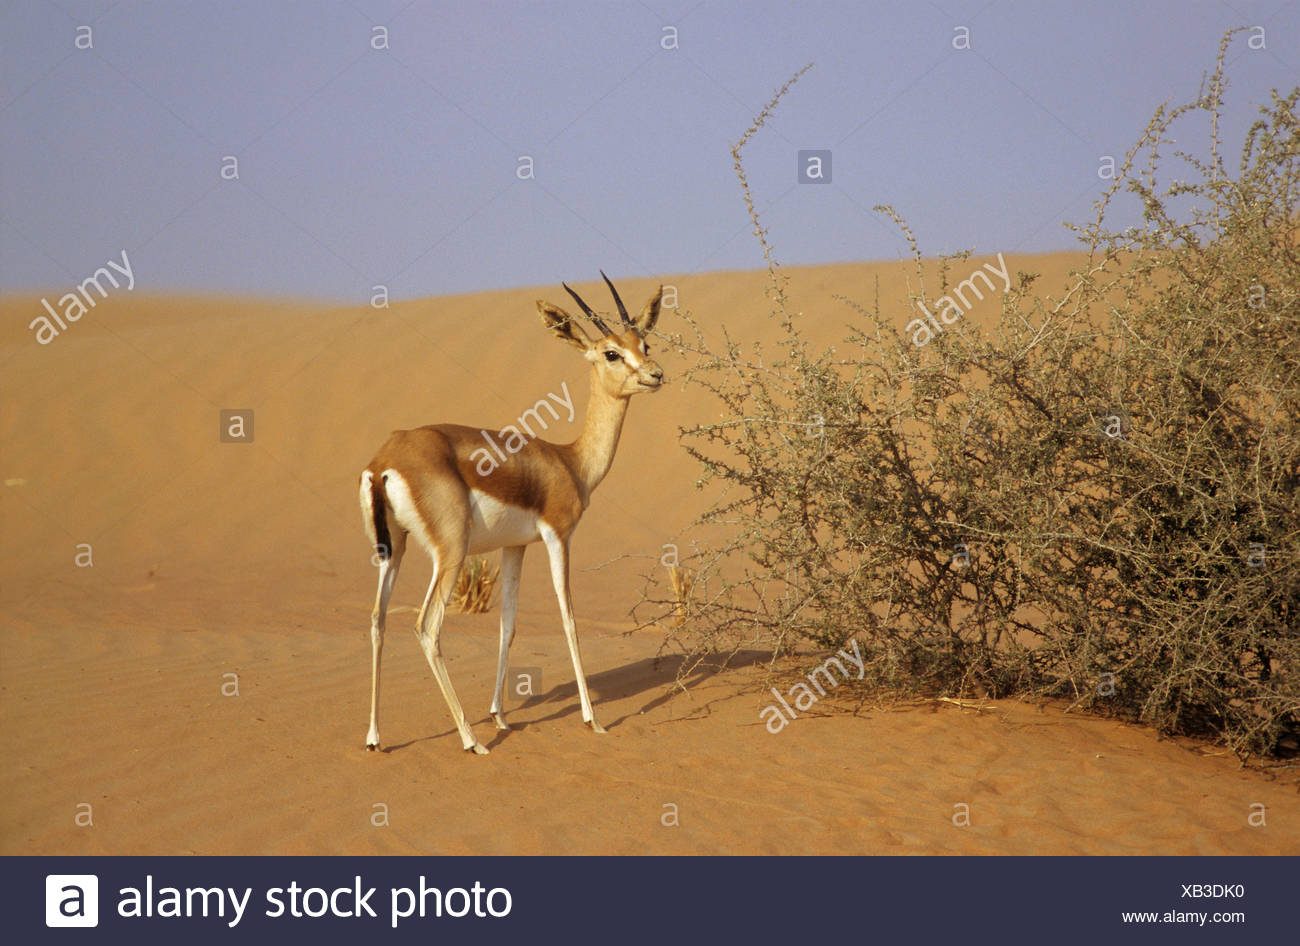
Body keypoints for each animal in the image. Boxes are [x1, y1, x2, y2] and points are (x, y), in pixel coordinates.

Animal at [359, 274, 664, 754]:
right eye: (611, 352)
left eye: (644, 342)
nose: (655, 374)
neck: (571, 462)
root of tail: (385, 460)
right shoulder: (559, 537)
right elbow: (569, 619)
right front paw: (593, 720)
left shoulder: (515, 548)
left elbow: (508, 625)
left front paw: (500, 716)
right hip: (450, 552)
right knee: (427, 627)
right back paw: (471, 741)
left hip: (395, 548)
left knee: (378, 619)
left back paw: (375, 737)